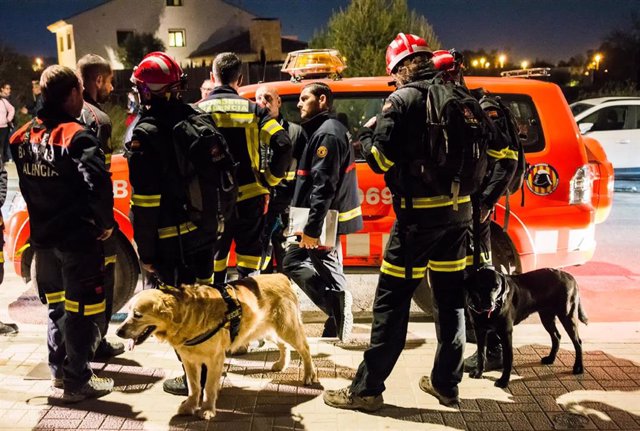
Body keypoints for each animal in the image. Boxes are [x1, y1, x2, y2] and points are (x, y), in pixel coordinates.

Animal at [114, 276, 318, 420]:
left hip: (287, 328)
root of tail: (282, 276)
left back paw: (309, 374)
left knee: (305, 348)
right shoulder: (189, 360)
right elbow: (194, 387)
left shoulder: (214, 359)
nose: (117, 331)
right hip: (265, 328)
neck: (187, 317)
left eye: (137, 315)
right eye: (128, 312)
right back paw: (281, 364)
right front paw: (189, 406)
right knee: (283, 345)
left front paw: (207, 410)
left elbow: (209, 387)